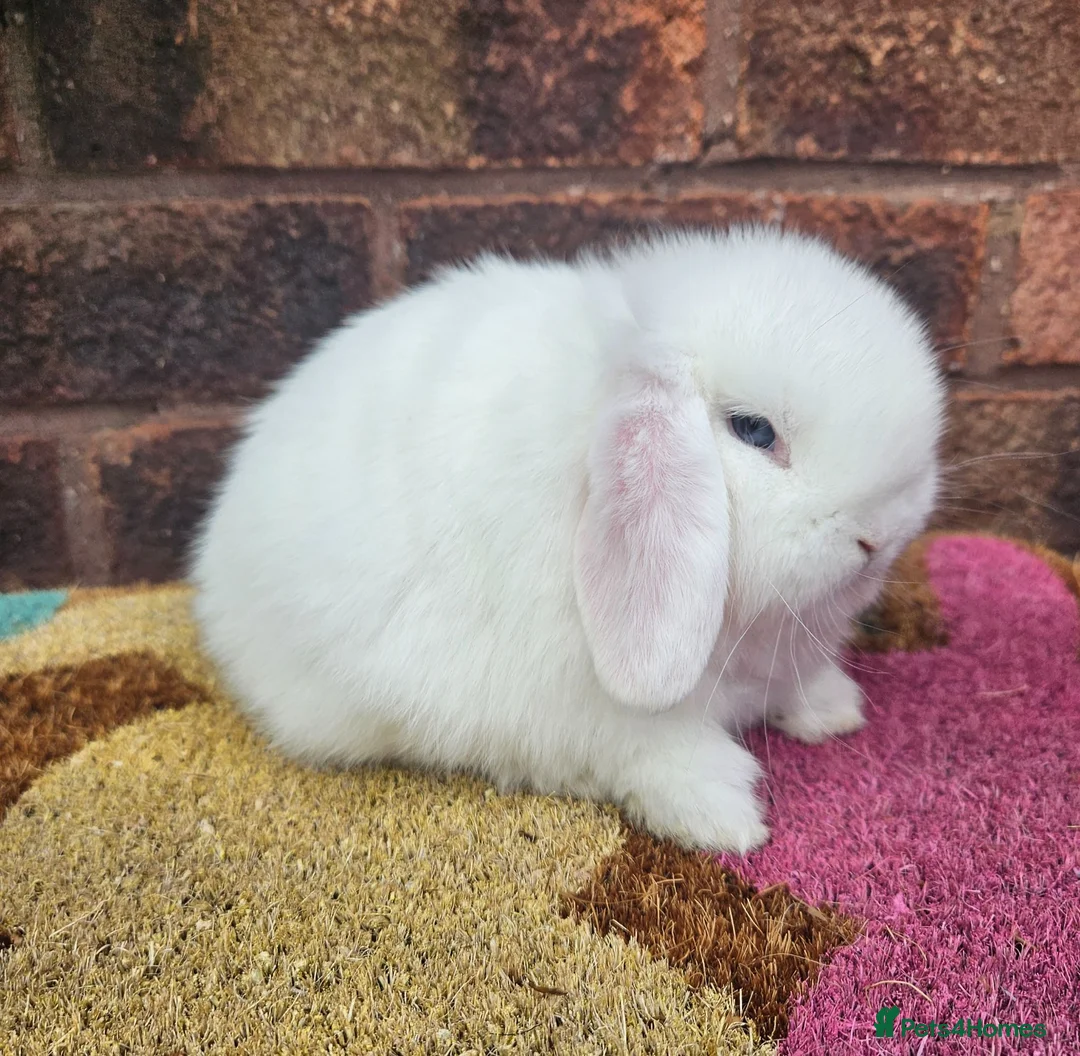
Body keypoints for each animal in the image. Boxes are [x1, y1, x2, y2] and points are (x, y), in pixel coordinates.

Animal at [190, 225, 946, 854]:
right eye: (753, 430)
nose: (878, 538)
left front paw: (834, 712)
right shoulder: (600, 717)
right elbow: (663, 758)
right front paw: (728, 823)